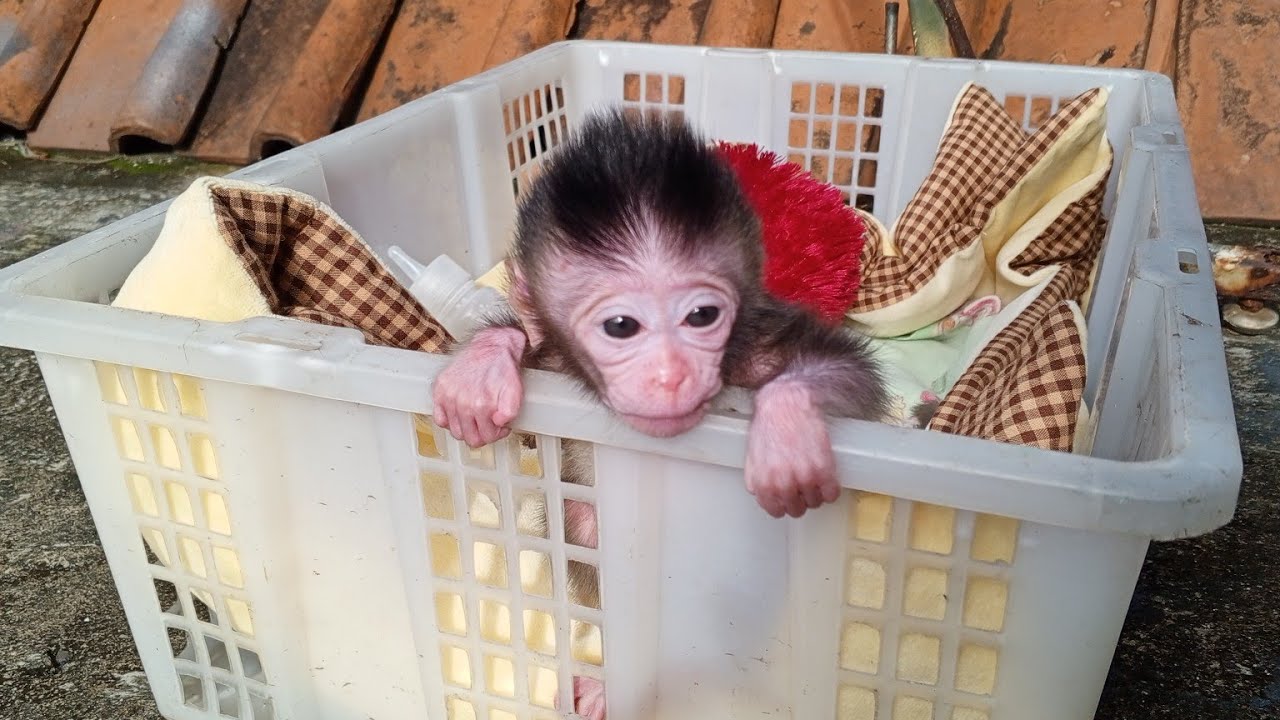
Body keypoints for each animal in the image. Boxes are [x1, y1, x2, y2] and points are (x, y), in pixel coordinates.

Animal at [431, 107, 888, 718]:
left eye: (702, 316)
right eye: (622, 326)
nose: (671, 373)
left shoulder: (753, 344)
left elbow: (851, 380)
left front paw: (786, 432)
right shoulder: (556, 358)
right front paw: (480, 372)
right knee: (583, 522)